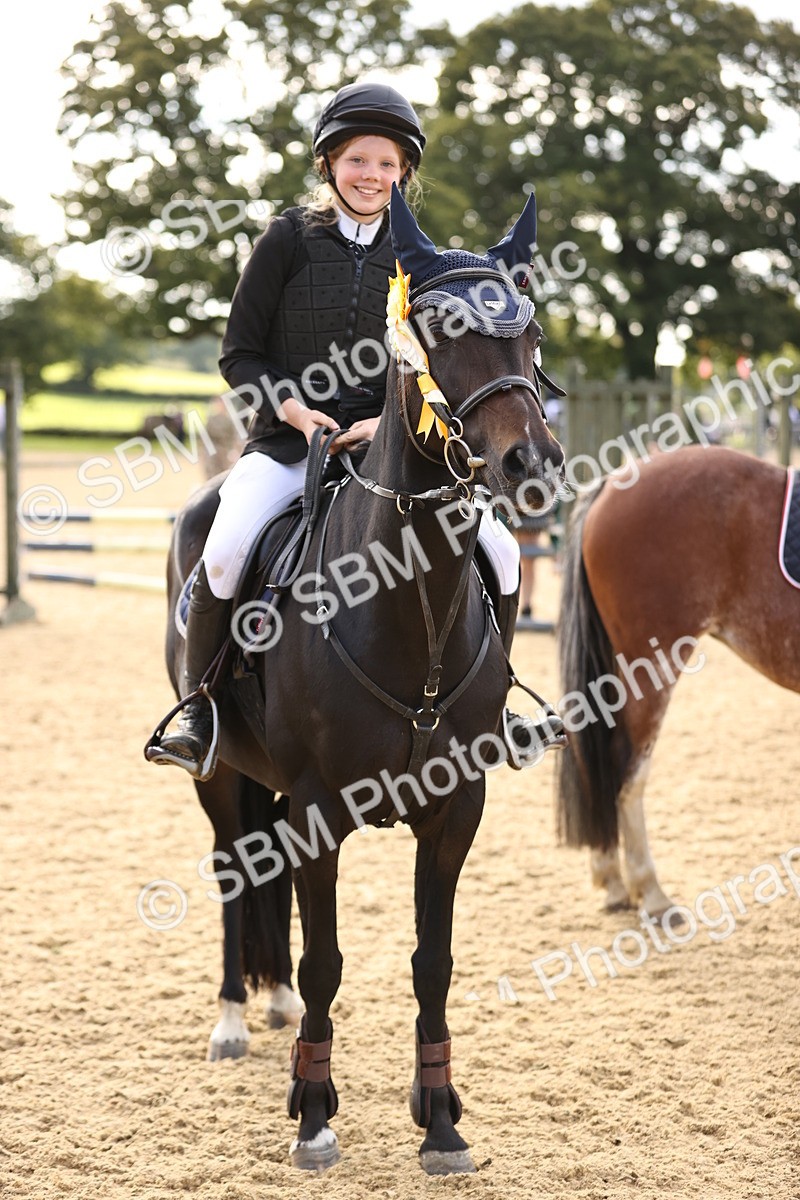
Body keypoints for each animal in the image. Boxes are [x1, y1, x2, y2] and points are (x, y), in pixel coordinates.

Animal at [151, 185, 565, 1174]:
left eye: (532, 335)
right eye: (439, 330)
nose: (530, 466)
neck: (407, 606)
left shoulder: (456, 811)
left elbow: (431, 960)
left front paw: (442, 1117)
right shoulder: (316, 807)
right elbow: (326, 960)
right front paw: (312, 1114)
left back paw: (269, 1007)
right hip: (220, 776)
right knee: (233, 871)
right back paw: (234, 1018)